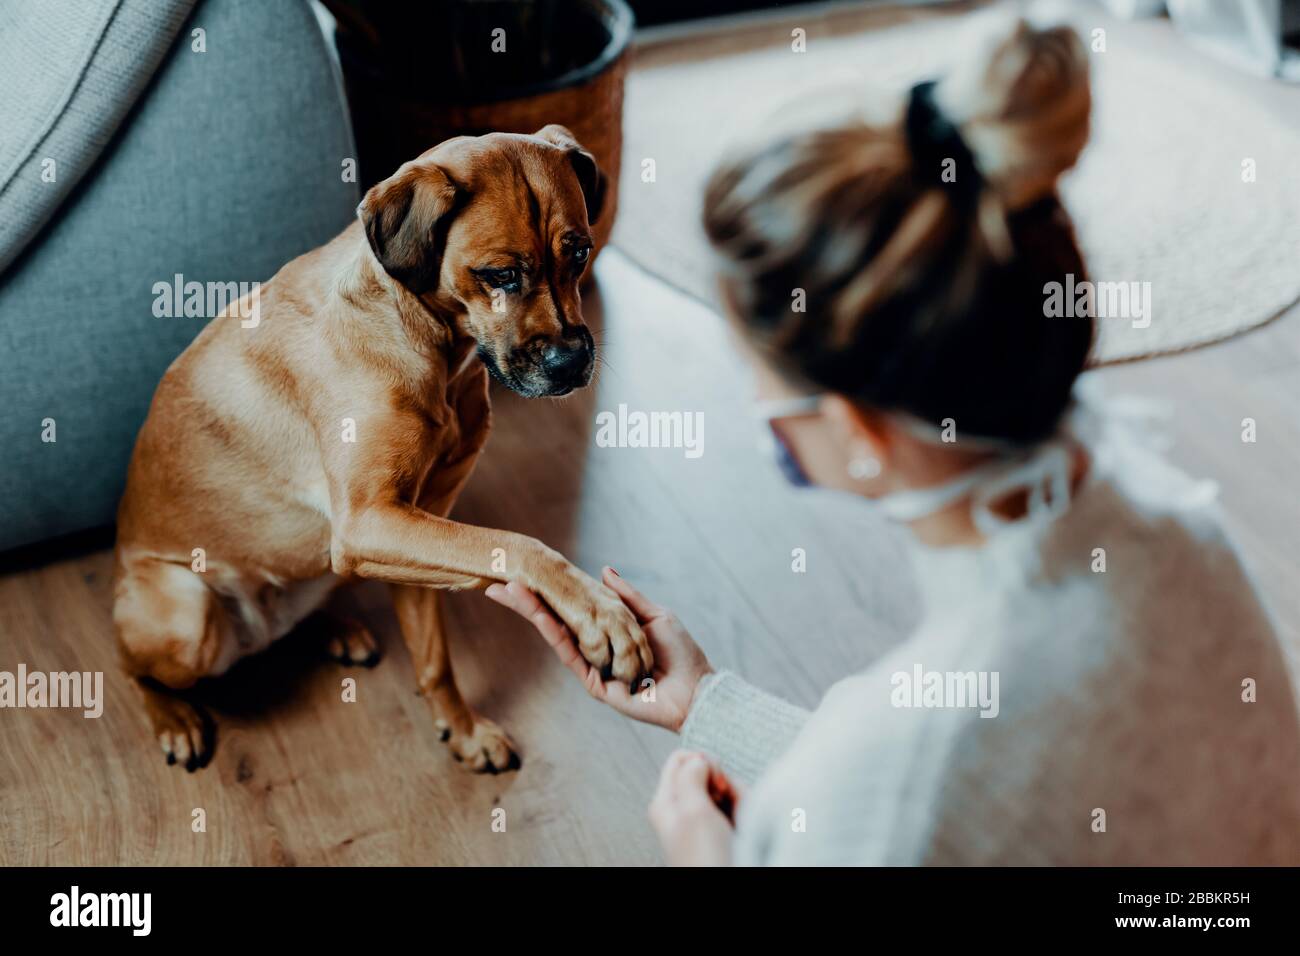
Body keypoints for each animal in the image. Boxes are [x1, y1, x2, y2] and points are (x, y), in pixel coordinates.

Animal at [114, 125, 650, 770]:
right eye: (498, 274)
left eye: (579, 253)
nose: (572, 364)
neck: (431, 341)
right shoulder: (372, 522)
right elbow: (522, 545)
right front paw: (599, 612)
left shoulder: (417, 528)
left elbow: (435, 658)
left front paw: (462, 731)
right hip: (187, 612)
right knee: (131, 669)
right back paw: (171, 717)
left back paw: (332, 629)